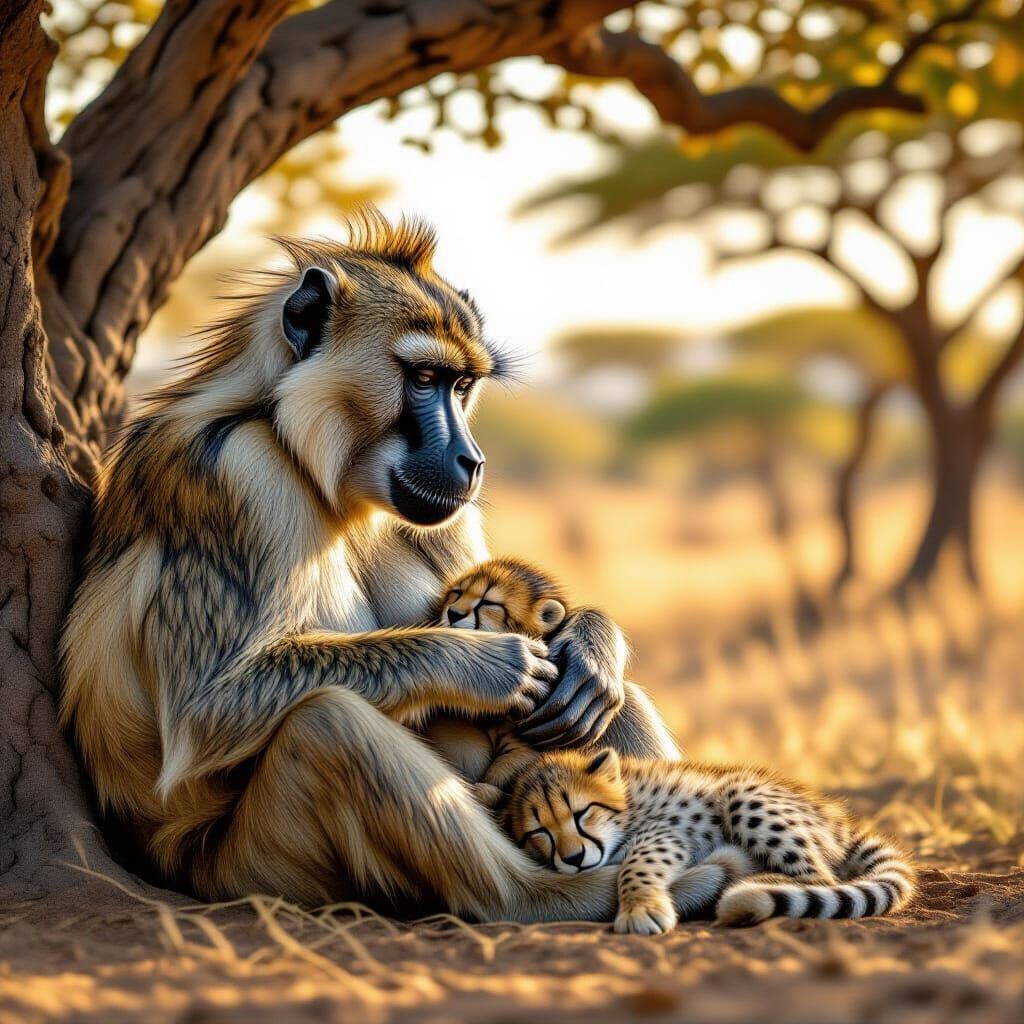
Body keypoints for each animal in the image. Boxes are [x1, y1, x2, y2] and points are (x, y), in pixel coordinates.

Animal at [60, 210, 678, 922]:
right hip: (255, 868)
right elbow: (205, 713)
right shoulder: (236, 472)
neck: (307, 455)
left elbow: (550, 631)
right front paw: (489, 665)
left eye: (463, 385)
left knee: (610, 702)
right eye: (423, 379)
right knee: (329, 722)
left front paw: (588, 644)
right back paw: (555, 897)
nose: (472, 462)